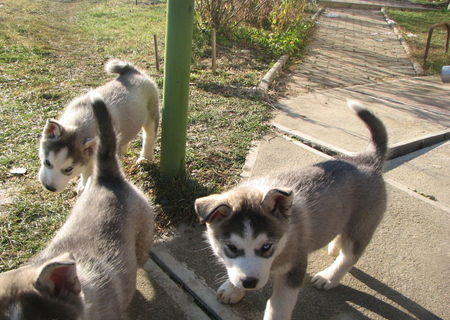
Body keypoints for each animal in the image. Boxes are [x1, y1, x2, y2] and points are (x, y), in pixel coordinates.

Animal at [38, 59, 160, 194]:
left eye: (68, 169)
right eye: (47, 162)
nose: (49, 187)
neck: (80, 124)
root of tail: (132, 71)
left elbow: (88, 171)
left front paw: (85, 186)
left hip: (151, 114)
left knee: (149, 136)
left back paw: (145, 158)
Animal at [195, 100, 388, 320]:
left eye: (266, 247)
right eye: (231, 247)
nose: (249, 283)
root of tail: (366, 160)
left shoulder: (294, 270)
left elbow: (278, 305)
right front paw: (233, 289)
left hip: (361, 226)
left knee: (349, 257)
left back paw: (329, 277)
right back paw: (334, 246)